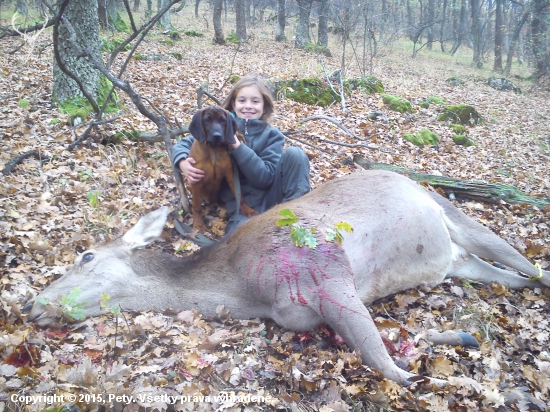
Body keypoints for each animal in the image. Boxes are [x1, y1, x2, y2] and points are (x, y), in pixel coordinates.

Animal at [27, 169, 550, 384]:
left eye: (86, 256)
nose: (30, 304)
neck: (245, 289)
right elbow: (387, 353)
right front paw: (453, 343)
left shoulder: (325, 266)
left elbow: (391, 369)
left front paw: (449, 380)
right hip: (454, 262)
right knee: (506, 277)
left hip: (459, 216)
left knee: (533, 269)